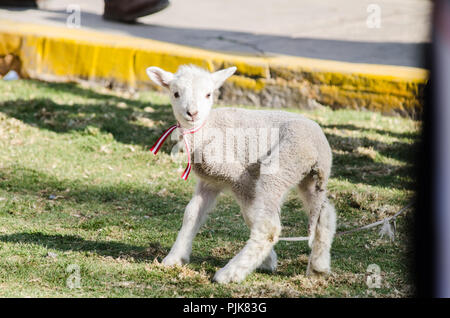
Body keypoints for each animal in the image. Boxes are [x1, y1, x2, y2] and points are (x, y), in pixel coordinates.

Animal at [146, 64, 336, 284]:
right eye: (175, 93)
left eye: (208, 94)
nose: (192, 113)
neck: (206, 130)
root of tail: (318, 149)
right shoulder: (210, 181)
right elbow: (191, 214)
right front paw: (174, 258)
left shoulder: (240, 176)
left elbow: (251, 216)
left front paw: (268, 260)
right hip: (309, 178)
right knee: (325, 214)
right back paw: (318, 267)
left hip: (281, 165)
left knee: (269, 227)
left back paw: (229, 273)